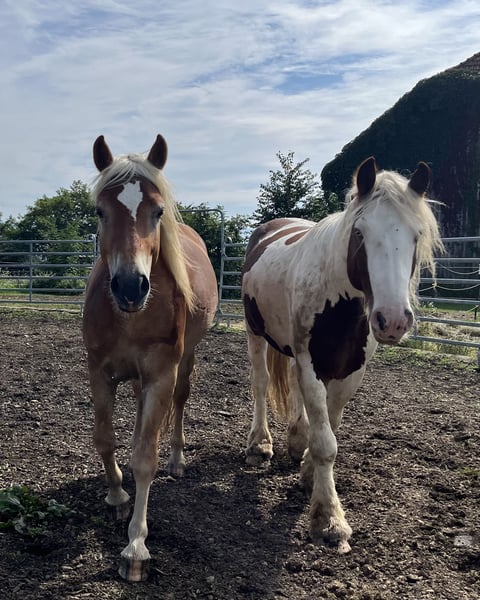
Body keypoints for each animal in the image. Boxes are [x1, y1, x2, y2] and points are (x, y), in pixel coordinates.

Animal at [82, 134, 218, 581]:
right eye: (100, 211)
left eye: (157, 211)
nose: (130, 286)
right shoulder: (99, 372)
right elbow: (104, 438)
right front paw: (116, 495)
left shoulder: (161, 375)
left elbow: (145, 458)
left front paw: (136, 546)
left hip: (184, 363)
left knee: (179, 404)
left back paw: (177, 459)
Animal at [241, 157, 443, 553]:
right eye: (360, 234)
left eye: (416, 236)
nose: (393, 320)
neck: (341, 303)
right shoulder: (311, 364)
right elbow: (326, 443)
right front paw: (328, 518)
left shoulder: (350, 371)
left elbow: (329, 429)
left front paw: (308, 473)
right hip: (256, 333)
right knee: (260, 383)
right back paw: (261, 444)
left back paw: (295, 441)